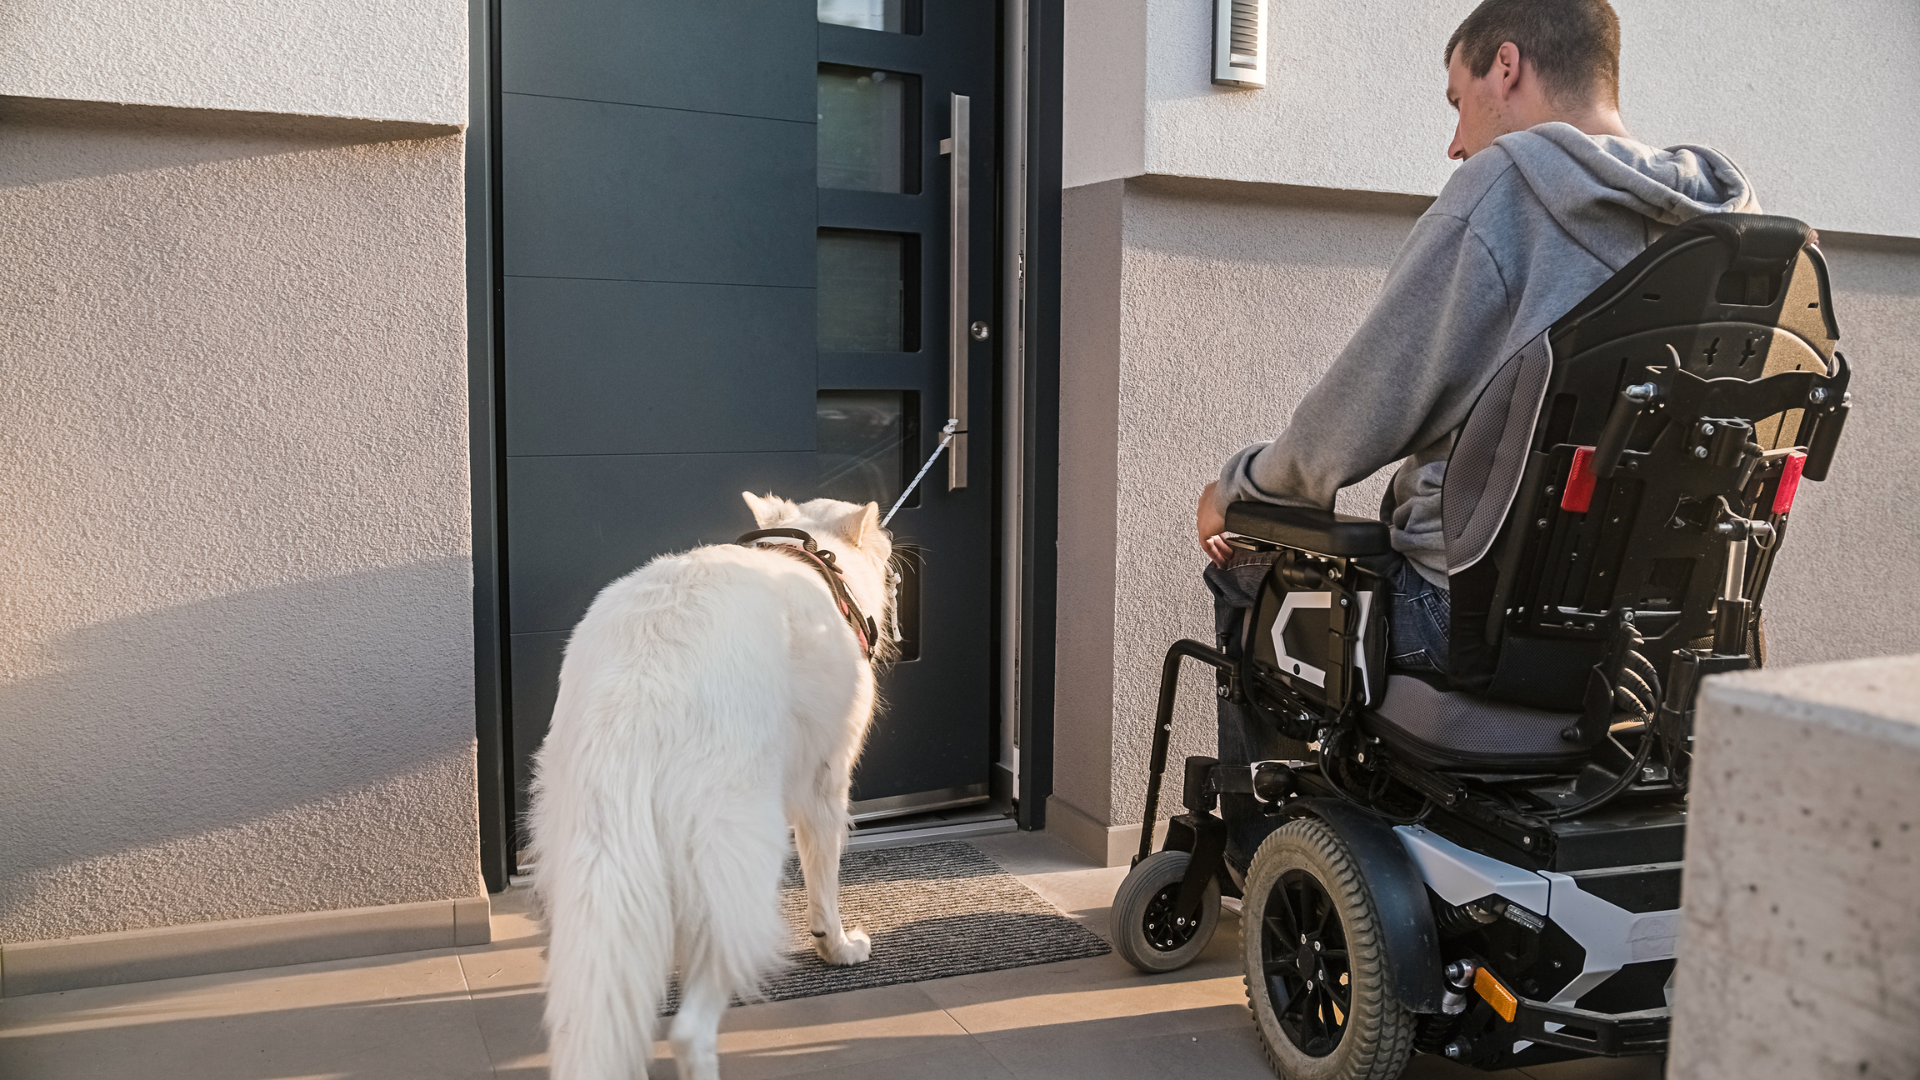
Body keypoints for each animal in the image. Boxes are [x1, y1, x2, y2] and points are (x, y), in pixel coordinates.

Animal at [529, 491, 894, 1068]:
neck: (814, 556)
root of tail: (637, 687)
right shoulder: (825, 789)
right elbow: (825, 889)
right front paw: (835, 947)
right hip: (738, 852)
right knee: (690, 1029)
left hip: (582, 852)